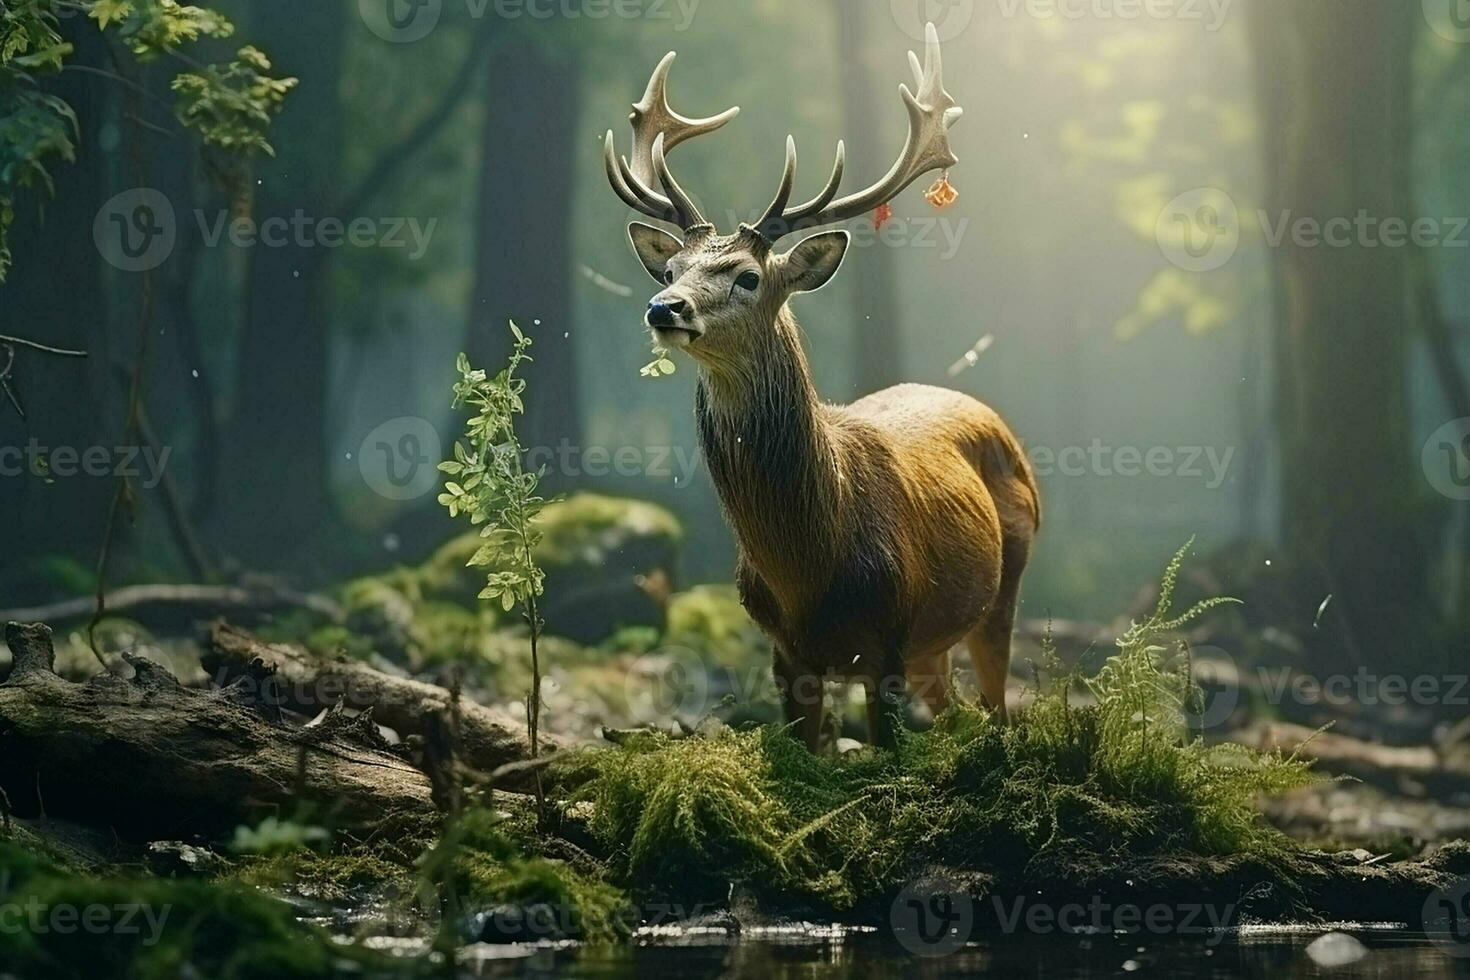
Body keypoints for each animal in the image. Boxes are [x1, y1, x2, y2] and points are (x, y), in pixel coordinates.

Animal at [602, 24, 1040, 758]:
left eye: (748, 276)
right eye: (670, 268)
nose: (666, 308)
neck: (811, 568)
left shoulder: (888, 639)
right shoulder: (784, 652)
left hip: (1006, 581)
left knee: (998, 701)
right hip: (932, 645)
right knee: (953, 708)